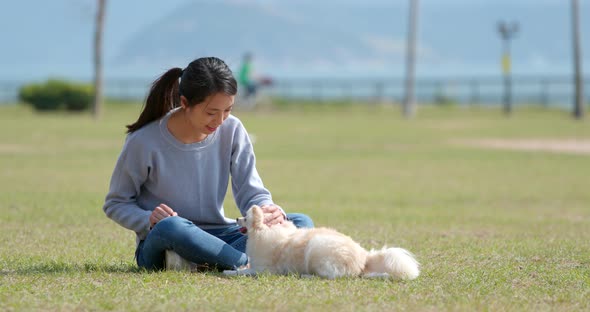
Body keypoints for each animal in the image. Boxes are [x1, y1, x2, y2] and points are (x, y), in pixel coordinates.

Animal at [236, 206, 420, 280]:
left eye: (245, 218)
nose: (237, 219)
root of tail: (365, 257)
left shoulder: (263, 269)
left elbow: (242, 272)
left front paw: (232, 272)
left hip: (317, 248)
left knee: (330, 276)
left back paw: (306, 275)